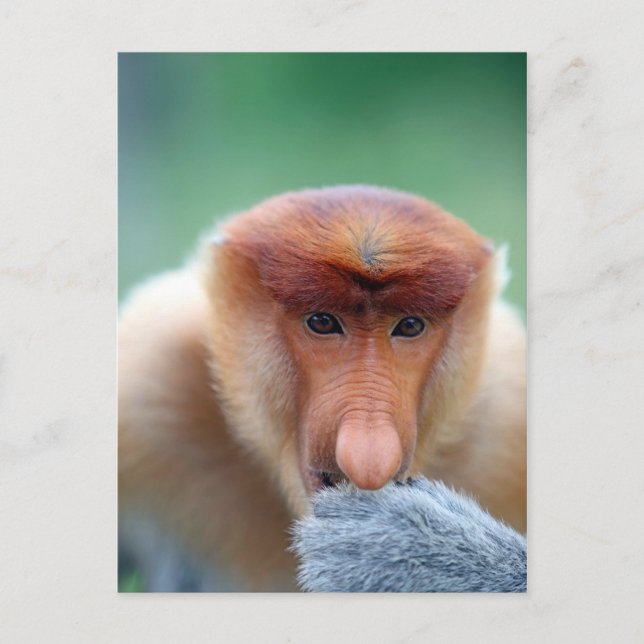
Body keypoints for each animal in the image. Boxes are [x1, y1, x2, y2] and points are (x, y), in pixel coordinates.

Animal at [118, 185, 526, 592]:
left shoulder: (510, 412)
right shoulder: (145, 380)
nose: (369, 459)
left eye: (410, 326)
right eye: (322, 322)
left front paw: (405, 551)